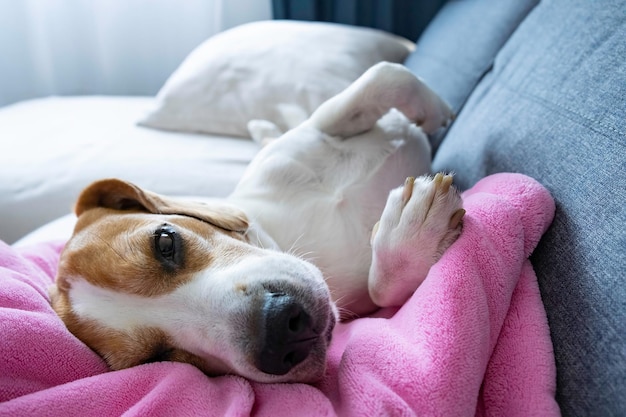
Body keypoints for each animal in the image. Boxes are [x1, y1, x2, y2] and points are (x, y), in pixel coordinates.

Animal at [51, 62, 464, 384]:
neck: (288, 234)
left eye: (165, 242)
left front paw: (431, 109)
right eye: (158, 358)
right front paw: (414, 233)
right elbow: (384, 293)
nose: (280, 333)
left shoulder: (309, 136)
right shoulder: (365, 303)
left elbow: (376, 80)